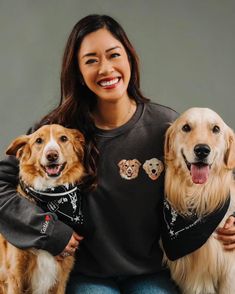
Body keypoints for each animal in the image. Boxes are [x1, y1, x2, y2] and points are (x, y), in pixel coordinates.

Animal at [162, 108, 235, 294]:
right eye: (186, 127)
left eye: (216, 129)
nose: (202, 150)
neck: (198, 196)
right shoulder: (195, 280)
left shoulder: (229, 275)